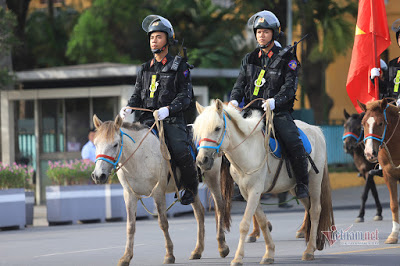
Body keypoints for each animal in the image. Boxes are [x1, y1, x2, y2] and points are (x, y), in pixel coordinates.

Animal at [91, 115, 231, 266]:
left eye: (115, 144)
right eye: (95, 144)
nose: (98, 175)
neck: (140, 156)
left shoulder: (158, 192)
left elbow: (163, 223)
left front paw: (169, 255)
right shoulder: (129, 195)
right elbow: (130, 226)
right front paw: (126, 257)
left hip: (212, 177)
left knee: (219, 206)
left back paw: (222, 246)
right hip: (192, 186)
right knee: (199, 212)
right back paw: (197, 250)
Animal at [194, 100, 334, 266]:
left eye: (217, 128)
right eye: (198, 130)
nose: (202, 160)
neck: (247, 150)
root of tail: (316, 130)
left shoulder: (255, 191)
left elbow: (244, 224)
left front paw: (238, 257)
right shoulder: (247, 193)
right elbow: (261, 221)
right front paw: (269, 253)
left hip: (314, 181)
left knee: (315, 210)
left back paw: (309, 250)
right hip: (296, 187)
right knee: (309, 207)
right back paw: (315, 242)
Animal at [360, 98, 400, 244]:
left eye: (381, 123)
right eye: (363, 124)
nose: (369, 153)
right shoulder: (389, 175)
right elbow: (394, 204)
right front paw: (393, 235)